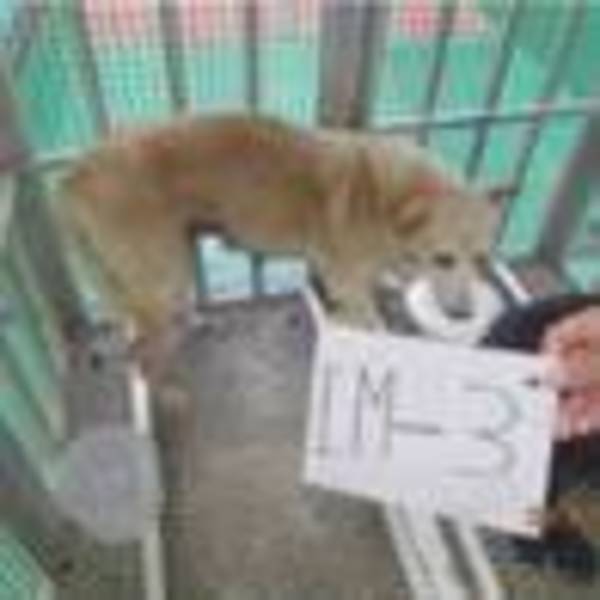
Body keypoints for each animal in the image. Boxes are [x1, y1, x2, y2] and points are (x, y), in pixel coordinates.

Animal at [56, 112, 501, 375]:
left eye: (482, 258)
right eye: (443, 259)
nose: (462, 315)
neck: (385, 199)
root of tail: (77, 172)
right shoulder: (346, 281)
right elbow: (375, 324)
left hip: (172, 259)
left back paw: (194, 320)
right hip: (162, 272)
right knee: (146, 348)